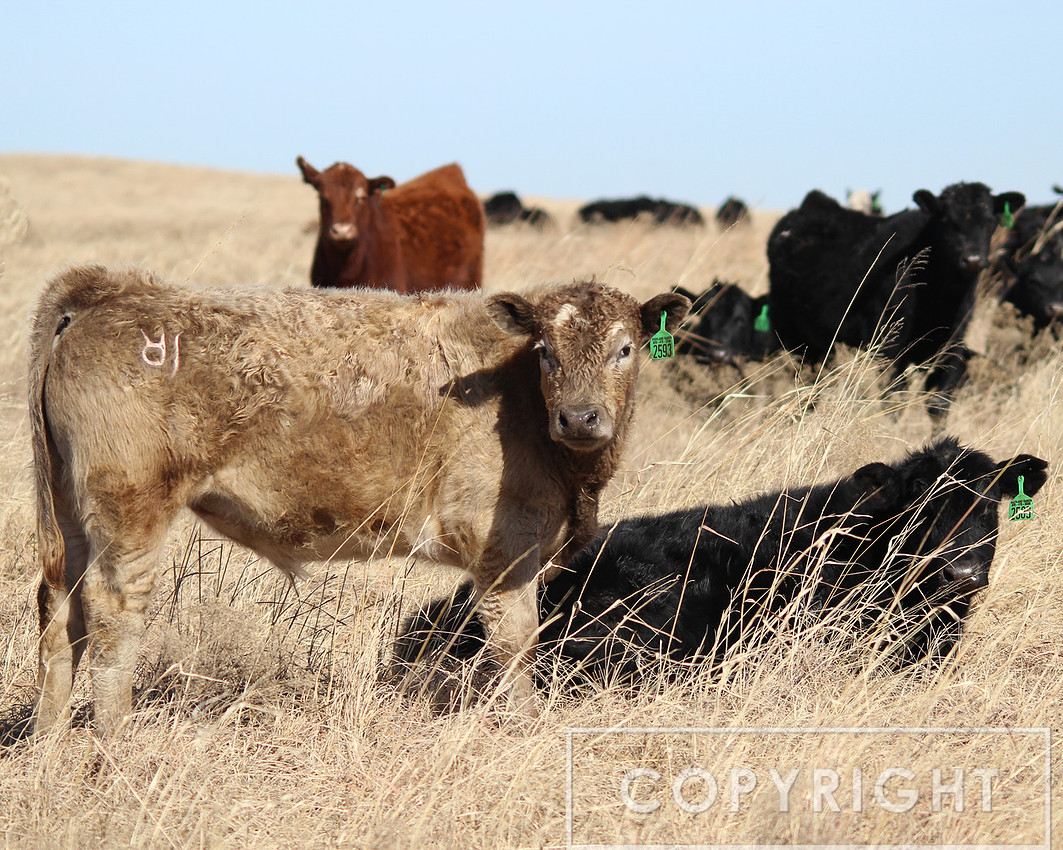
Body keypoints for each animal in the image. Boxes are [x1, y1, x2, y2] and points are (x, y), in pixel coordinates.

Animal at [29, 264, 690, 732]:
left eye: (625, 348)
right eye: (547, 351)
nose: (580, 417)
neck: (518, 395)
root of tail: (113, 289)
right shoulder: (504, 552)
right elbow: (516, 645)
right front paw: (525, 728)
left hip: (69, 514)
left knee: (59, 609)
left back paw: (49, 744)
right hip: (129, 511)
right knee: (111, 615)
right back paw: (115, 743)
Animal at [768, 183, 1025, 418]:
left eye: (991, 220)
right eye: (946, 218)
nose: (973, 259)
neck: (940, 302)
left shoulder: (952, 348)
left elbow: (938, 405)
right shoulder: (891, 351)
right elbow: (895, 403)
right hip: (795, 338)